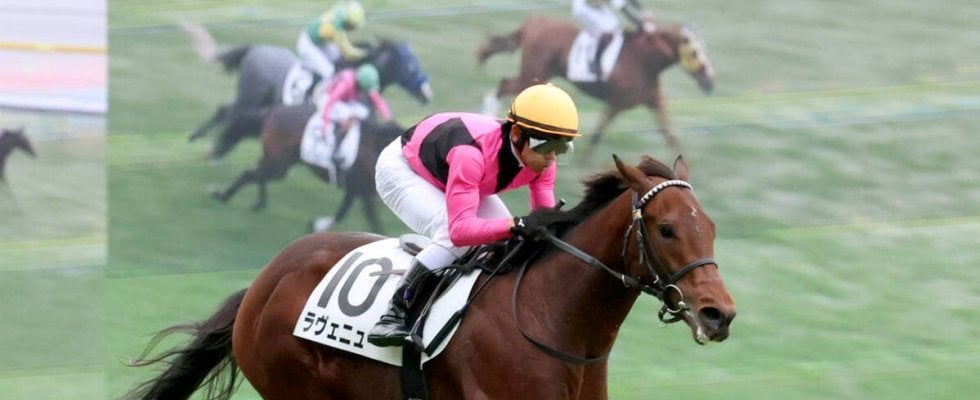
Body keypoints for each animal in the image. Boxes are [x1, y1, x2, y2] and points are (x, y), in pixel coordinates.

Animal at [184, 23, 432, 161]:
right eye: (411, 67)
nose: (427, 93)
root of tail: (255, 49)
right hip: (249, 97)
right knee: (229, 114)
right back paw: (205, 143)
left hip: (253, 101)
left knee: (226, 112)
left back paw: (201, 140)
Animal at [210, 103, 402, 234]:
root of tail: (271, 112)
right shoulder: (363, 189)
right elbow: (369, 218)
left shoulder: (356, 188)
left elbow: (343, 211)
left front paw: (317, 226)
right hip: (278, 164)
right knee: (251, 174)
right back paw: (224, 195)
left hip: (277, 161)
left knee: (257, 174)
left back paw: (256, 202)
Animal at [478, 16, 715, 158]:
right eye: (695, 52)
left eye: (705, 49)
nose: (710, 82)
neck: (643, 61)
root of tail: (533, 23)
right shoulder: (616, 103)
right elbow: (597, 134)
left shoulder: (654, 102)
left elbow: (670, 135)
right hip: (533, 76)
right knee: (503, 85)